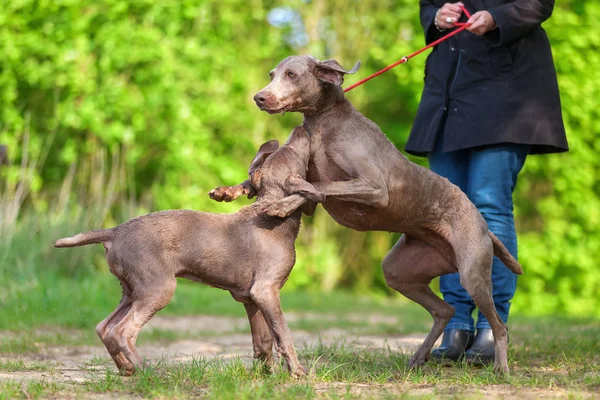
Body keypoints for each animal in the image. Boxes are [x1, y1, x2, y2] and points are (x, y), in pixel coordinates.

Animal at [55, 126, 324, 378]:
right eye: (292, 151)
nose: (300, 128)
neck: (274, 218)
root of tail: (115, 231)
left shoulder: (250, 297)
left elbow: (264, 341)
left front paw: (267, 374)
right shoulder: (266, 290)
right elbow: (283, 333)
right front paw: (298, 371)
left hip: (132, 289)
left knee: (104, 327)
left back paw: (127, 368)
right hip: (158, 287)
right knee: (123, 331)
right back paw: (149, 372)